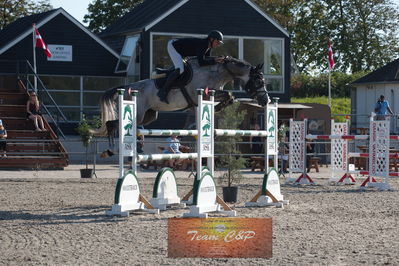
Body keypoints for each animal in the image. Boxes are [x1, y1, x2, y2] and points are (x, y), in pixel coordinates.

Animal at [92, 55, 270, 153]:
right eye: (258, 81)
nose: (265, 100)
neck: (217, 72)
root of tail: (128, 86)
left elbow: (229, 96)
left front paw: (219, 107)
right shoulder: (202, 92)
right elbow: (229, 94)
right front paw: (219, 107)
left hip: (149, 116)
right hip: (138, 113)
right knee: (112, 124)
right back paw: (111, 146)